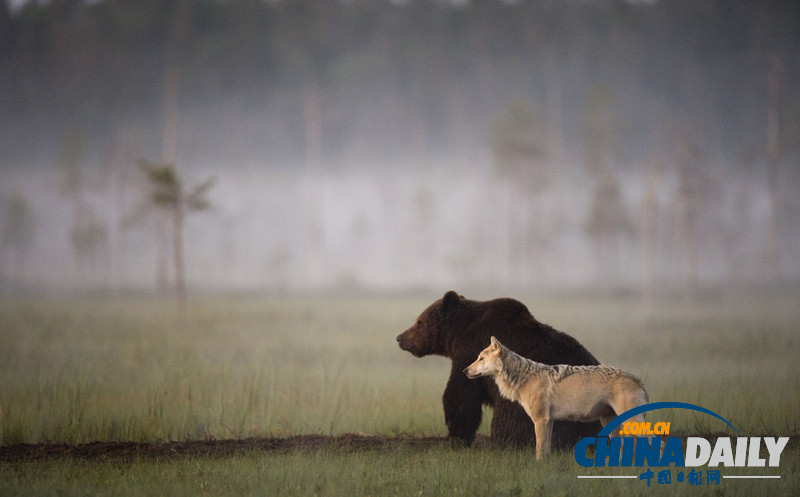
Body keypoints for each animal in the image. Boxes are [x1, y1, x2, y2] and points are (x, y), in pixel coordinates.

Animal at [394, 288, 600, 448]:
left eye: (420, 322)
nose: (400, 337)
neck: (458, 335)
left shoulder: (468, 354)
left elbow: (461, 395)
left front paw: (457, 436)